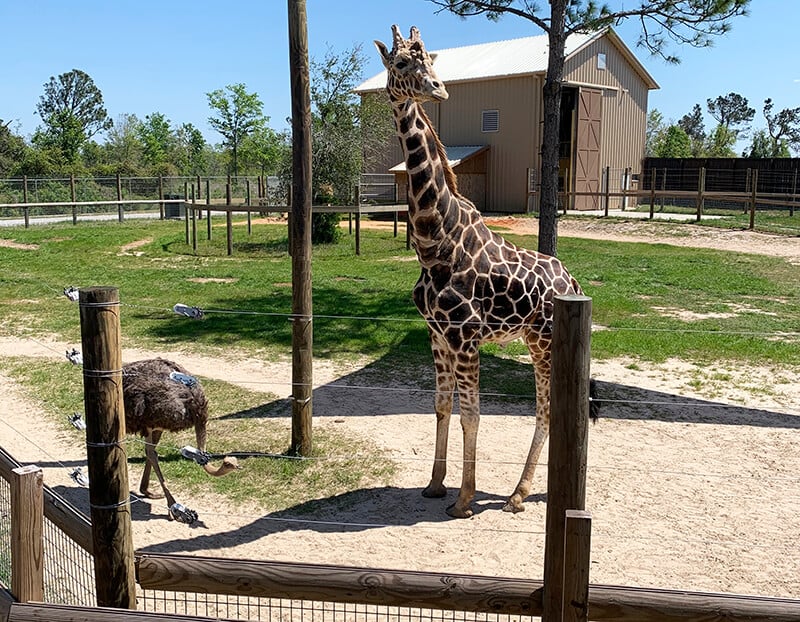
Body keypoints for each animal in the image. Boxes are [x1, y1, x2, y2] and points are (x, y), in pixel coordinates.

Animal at [376, 24, 588, 520]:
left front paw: (464, 499)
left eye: (430, 59)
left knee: (546, 408)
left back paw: (519, 493)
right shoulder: (436, 335)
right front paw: (435, 485)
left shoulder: (465, 337)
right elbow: (441, 406)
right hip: (535, 340)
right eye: (401, 62)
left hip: (542, 341)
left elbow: (472, 414)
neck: (435, 243)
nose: (438, 89)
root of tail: (572, 281)